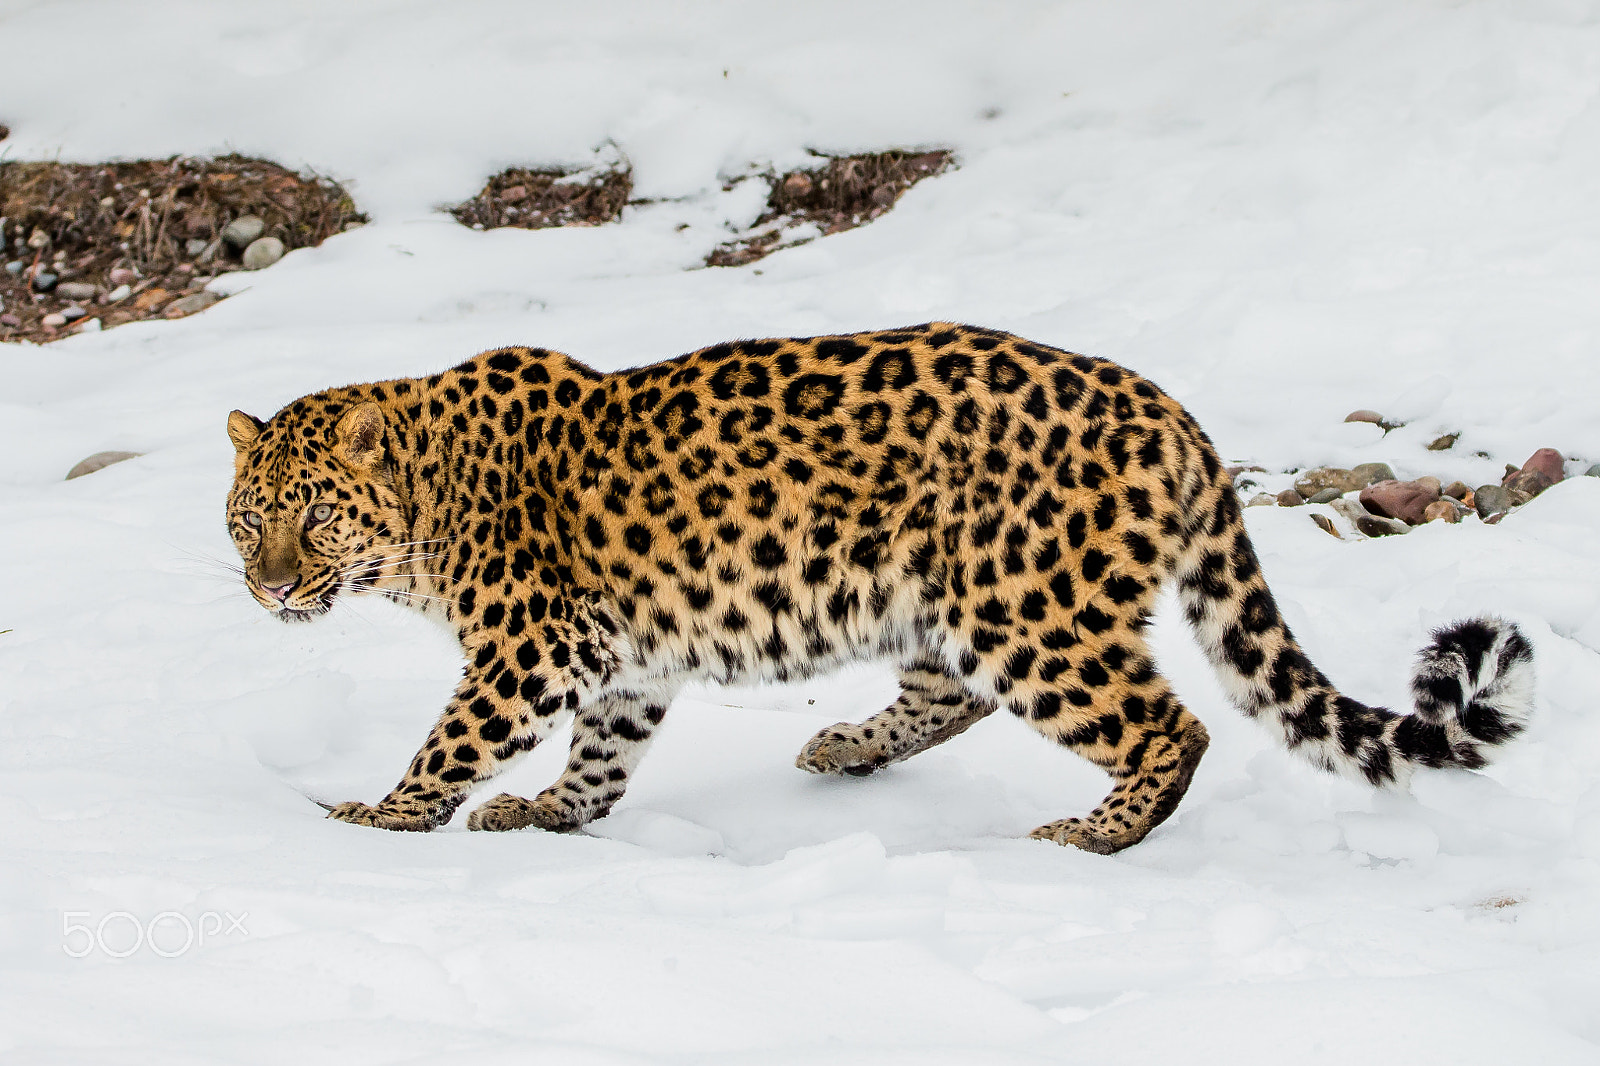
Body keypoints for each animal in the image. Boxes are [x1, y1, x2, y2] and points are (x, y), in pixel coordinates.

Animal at [225, 322, 1535, 854]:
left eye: (313, 514)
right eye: (250, 521)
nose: (271, 591)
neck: (425, 503)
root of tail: (1168, 411)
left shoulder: (529, 642)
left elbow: (454, 736)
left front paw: (382, 817)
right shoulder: (617, 653)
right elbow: (603, 750)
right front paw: (549, 811)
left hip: (1028, 602)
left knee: (1166, 723)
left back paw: (1092, 834)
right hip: (943, 595)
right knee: (954, 694)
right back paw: (843, 746)